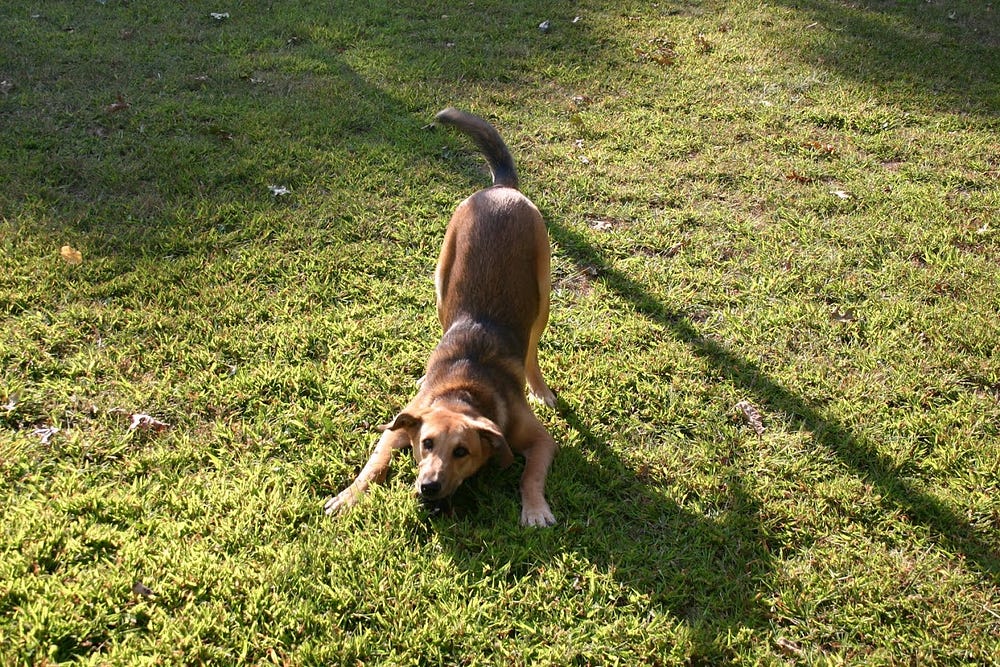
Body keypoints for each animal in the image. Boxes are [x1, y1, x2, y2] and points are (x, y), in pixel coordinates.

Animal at [324, 107, 558, 527]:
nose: (428, 488)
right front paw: (349, 495)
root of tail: (502, 189)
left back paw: (540, 387)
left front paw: (534, 508)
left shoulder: (541, 440)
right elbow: (374, 463)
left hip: (543, 295)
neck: (464, 391)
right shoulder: (397, 429)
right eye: (427, 444)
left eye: (462, 451)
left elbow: (529, 474)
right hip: (440, 281)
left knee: (532, 350)